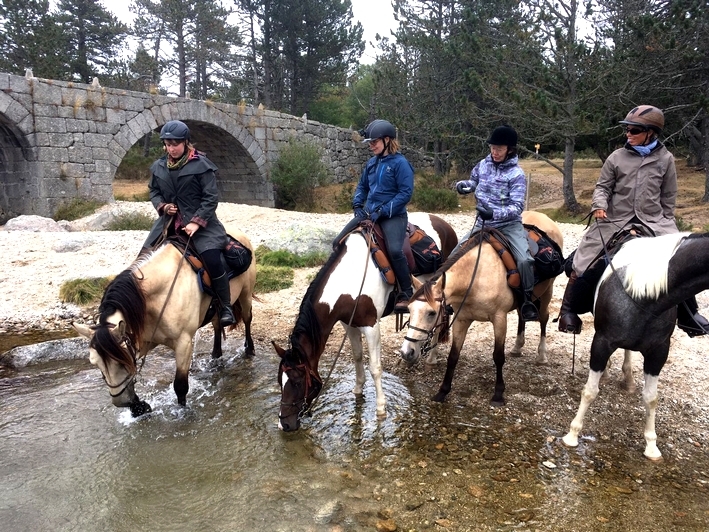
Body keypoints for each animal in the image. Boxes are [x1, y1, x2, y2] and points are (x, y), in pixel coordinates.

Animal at [73, 224, 256, 416]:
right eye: (95, 363)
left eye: (122, 362)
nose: (120, 402)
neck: (159, 294)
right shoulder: (145, 339)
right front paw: (138, 406)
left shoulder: (183, 343)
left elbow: (180, 386)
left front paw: (182, 412)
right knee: (217, 325)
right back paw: (215, 356)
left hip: (245, 295)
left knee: (247, 319)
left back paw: (249, 350)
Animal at [274, 210, 456, 430]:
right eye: (280, 381)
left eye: (298, 382)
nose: (284, 424)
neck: (349, 280)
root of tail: (445, 225)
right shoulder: (349, 324)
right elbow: (358, 357)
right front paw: (358, 390)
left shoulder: (371, 326)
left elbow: (375, 368)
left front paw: (381, 408)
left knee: (439, 322)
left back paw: (431, 358)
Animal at [398, 210, 564, 406]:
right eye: (409, 310)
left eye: (431, 313)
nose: (406, 352)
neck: (476, 277)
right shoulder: (462, 319)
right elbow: (453, 356)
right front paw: (442, 392)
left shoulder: (499, 319)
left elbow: (498, 356)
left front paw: (498, 394)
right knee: (522, 315)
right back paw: (517, 347)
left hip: (546, 293)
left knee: (543, 318)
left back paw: (541, 355)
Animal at [560, 233, 704, 462]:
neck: (646, 295)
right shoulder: (602, 343)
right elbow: (590, 391)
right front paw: (572, 435)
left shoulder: (659, 352)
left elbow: (651, 398)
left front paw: (651, 446)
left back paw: (627, 379)